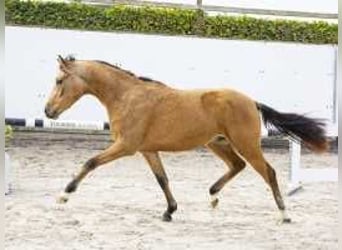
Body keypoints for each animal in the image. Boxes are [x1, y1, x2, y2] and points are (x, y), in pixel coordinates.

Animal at [44, 54, 328, 223]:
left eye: (59, 80)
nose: (48, 111)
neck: (127, 97)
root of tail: (252, 102)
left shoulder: (126, 146)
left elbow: (90, 162)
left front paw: (63, 195)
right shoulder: (147, 150)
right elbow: (162, 179)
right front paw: (169, 211)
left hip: (246, 145)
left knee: (268, 172)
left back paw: (284, 214)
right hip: (217, 143)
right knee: (237, 165)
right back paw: (213, 196)